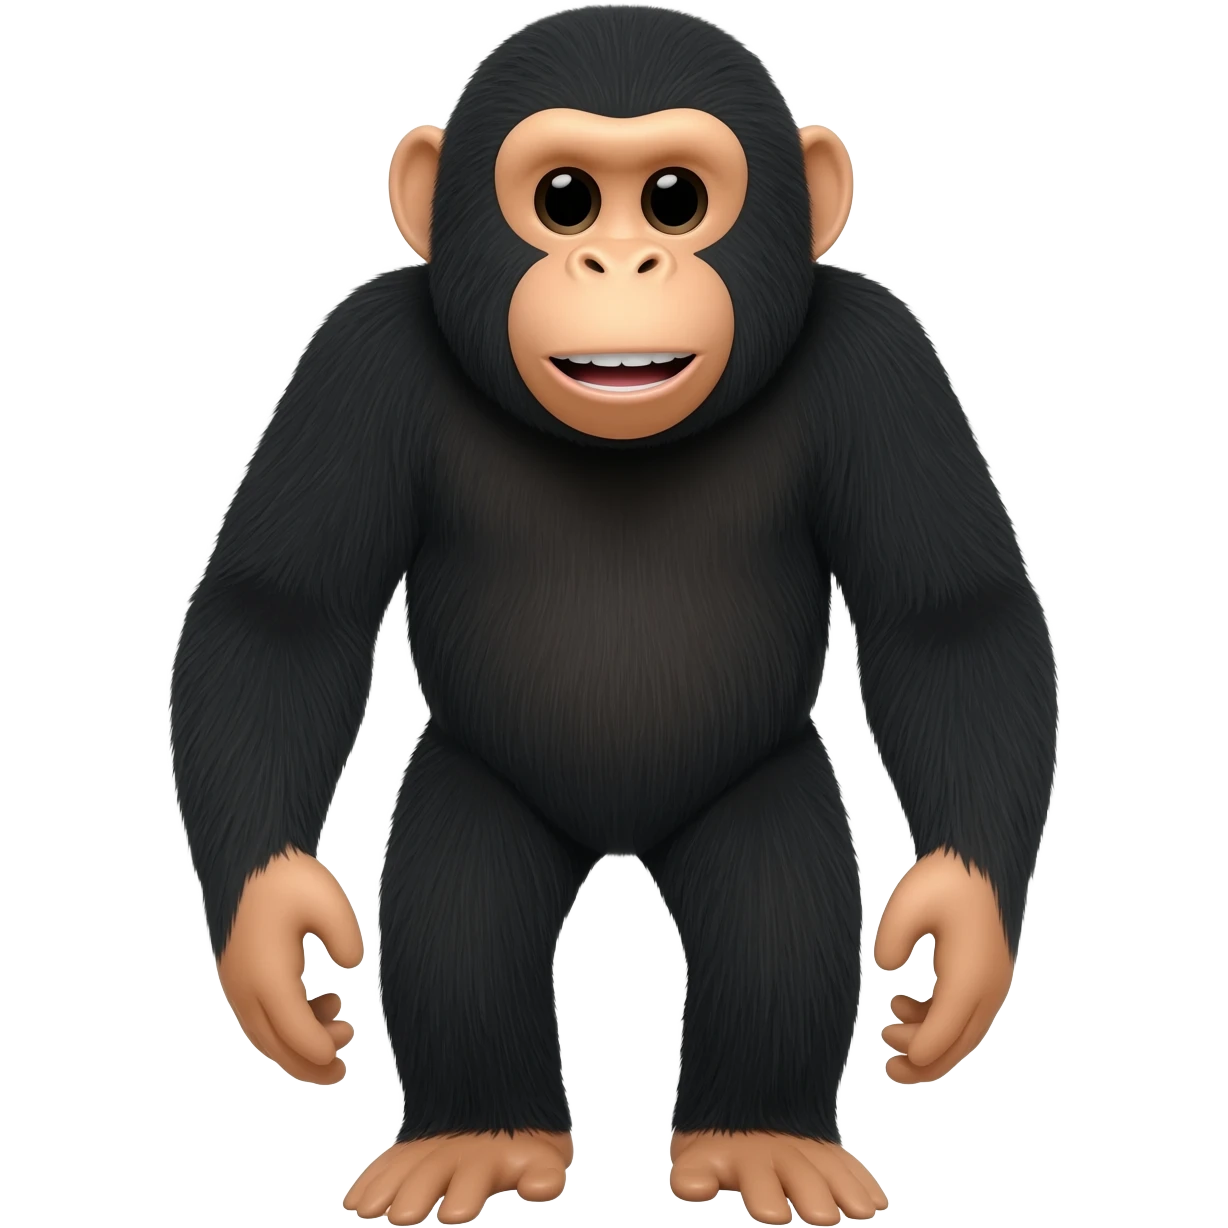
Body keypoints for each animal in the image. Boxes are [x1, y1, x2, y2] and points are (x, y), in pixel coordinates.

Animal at [169, 4, 1058, 1225]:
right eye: (566, 199)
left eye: (677, 198)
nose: (623, 258)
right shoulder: (354, 360)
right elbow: (283, 615)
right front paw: (274, 928)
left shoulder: (887, 361)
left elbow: (949, 619)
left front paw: (958, 927)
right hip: (479, 781)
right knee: (459, 911)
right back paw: (479, 1135)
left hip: (755, 784)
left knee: (778, 911)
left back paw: (759, 1135)